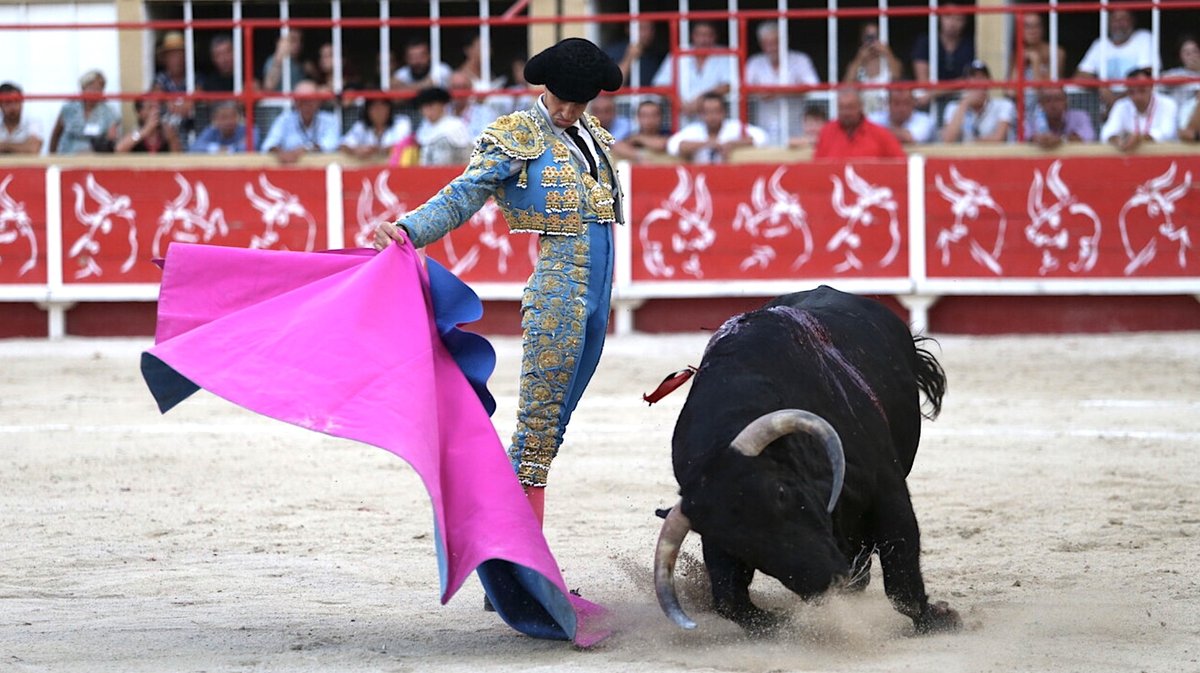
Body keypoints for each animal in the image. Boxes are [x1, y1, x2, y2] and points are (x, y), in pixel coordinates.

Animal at [652, 285, 960, 633]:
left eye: (781, 493)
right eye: (739, 545)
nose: (828, 582)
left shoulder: (887, 489)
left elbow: (901, 566)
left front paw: (938, 619)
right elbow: (730, 600)